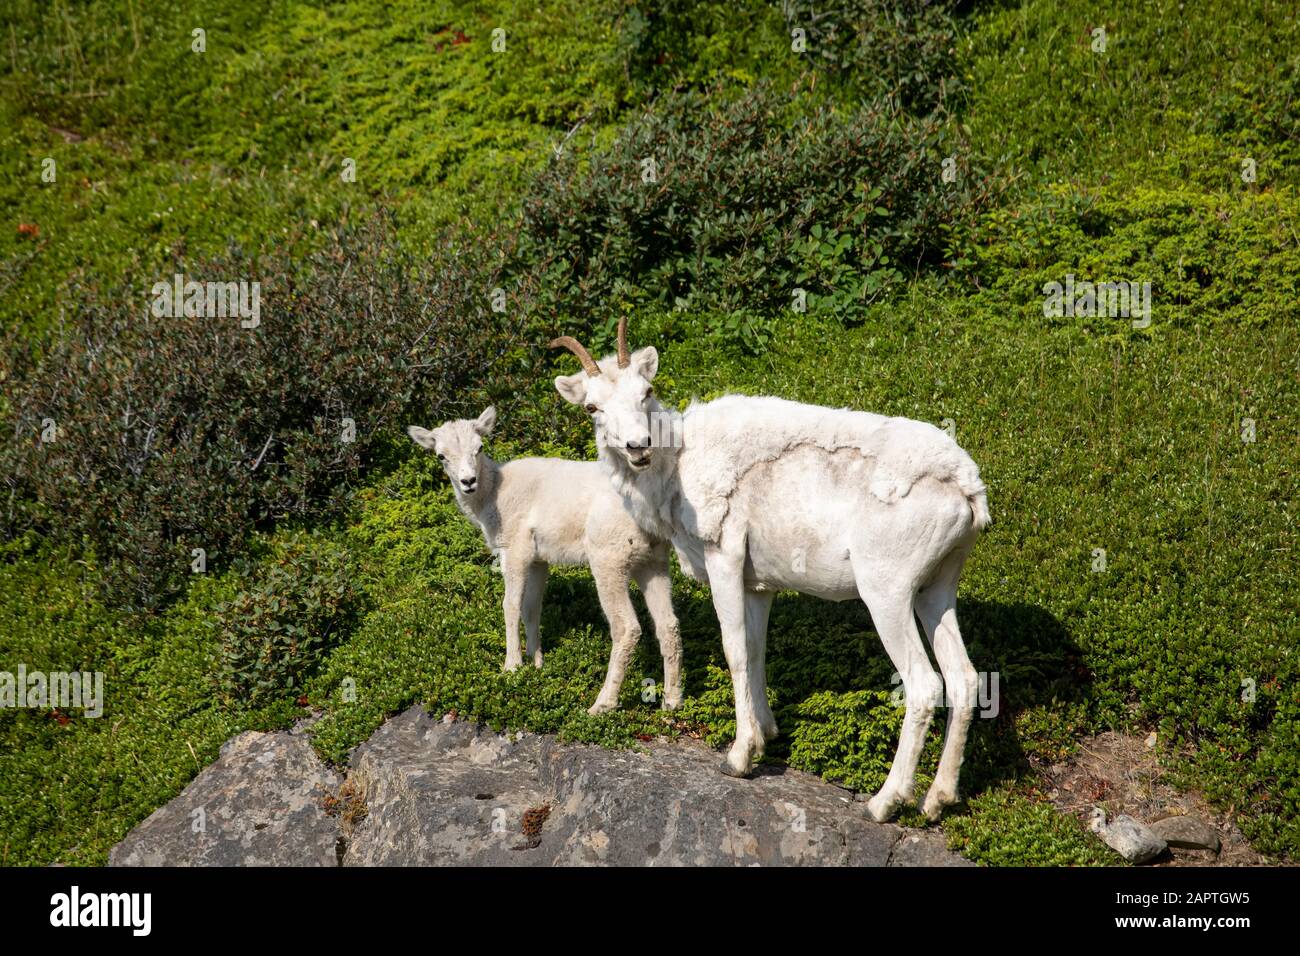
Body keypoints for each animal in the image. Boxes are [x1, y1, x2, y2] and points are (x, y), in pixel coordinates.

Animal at [407, 406, 682, 715]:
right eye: (441, 456)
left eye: (479, 448)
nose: (468, 482)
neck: (492, 497)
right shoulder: (540, 560)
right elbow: (531, 607)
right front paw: (536, 662)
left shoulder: (515, 548)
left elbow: (510, 605)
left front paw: (512, 667)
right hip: (653, 560)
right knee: (668, 624)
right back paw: (672, 701)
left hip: (609, 558)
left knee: (626, 628)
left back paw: (601, 705)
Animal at [551, 321, 990, 822]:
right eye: (592, 407)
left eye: (647, 391)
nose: (638, 447)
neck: (677, 466)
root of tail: (966, 490)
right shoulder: (757, 585)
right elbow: (758, 651)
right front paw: (767, 735)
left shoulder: (723, 557)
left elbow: (735, 650)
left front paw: (739, 758)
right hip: (937, 589)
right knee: (965, 679)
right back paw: (936, 802)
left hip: (887, 591)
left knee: (924, 685)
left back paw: (883, 803)